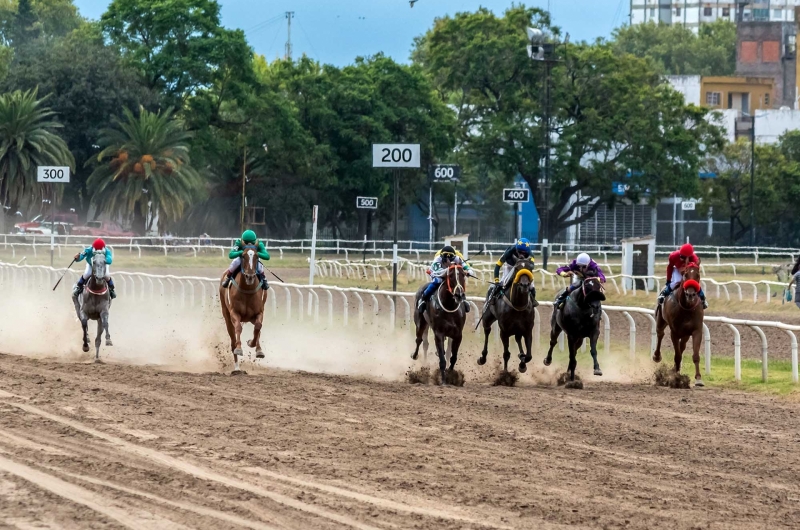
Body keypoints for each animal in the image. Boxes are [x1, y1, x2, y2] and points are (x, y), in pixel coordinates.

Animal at [219, 243, 268, 372]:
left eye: (257, 256)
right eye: (243, 256)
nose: (249, 276)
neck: (247, 291)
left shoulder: (259, 312)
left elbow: (258, 327)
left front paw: (253, 345)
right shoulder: (234, 313)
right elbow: (238, 329)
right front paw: (239, 348)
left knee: (258, 329)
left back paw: (258, 349)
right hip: (226, 315)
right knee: (232, 340)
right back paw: (237, 368)